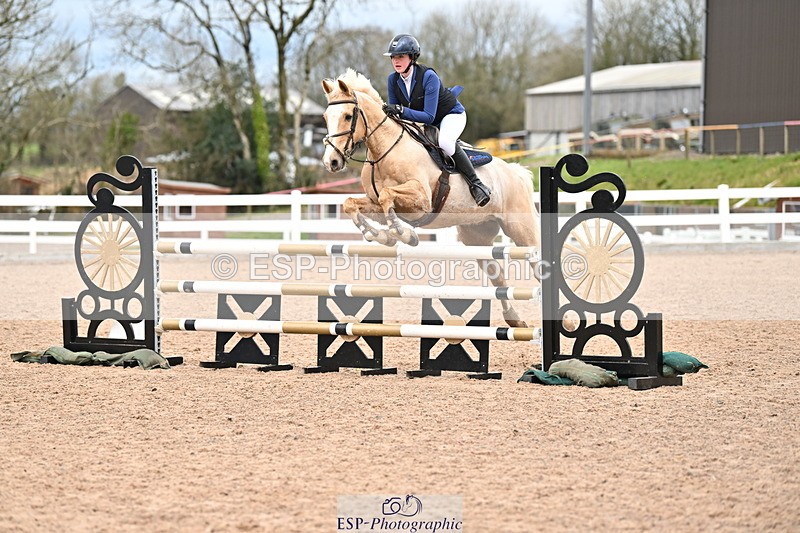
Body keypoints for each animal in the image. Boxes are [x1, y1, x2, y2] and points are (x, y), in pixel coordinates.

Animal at [320, 69, 540, 328]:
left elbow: (387, 197)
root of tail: (516, 172)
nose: (331, 162)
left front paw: (404, 234)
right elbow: (352, 204)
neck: (384, 150)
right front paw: (380, 236)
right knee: (496, 275)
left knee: (539, 265)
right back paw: (515, 320)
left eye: (347, 116)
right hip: (476, 235)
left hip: (521, 230)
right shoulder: (374, 203)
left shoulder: (422, 201)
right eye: (325, 117)